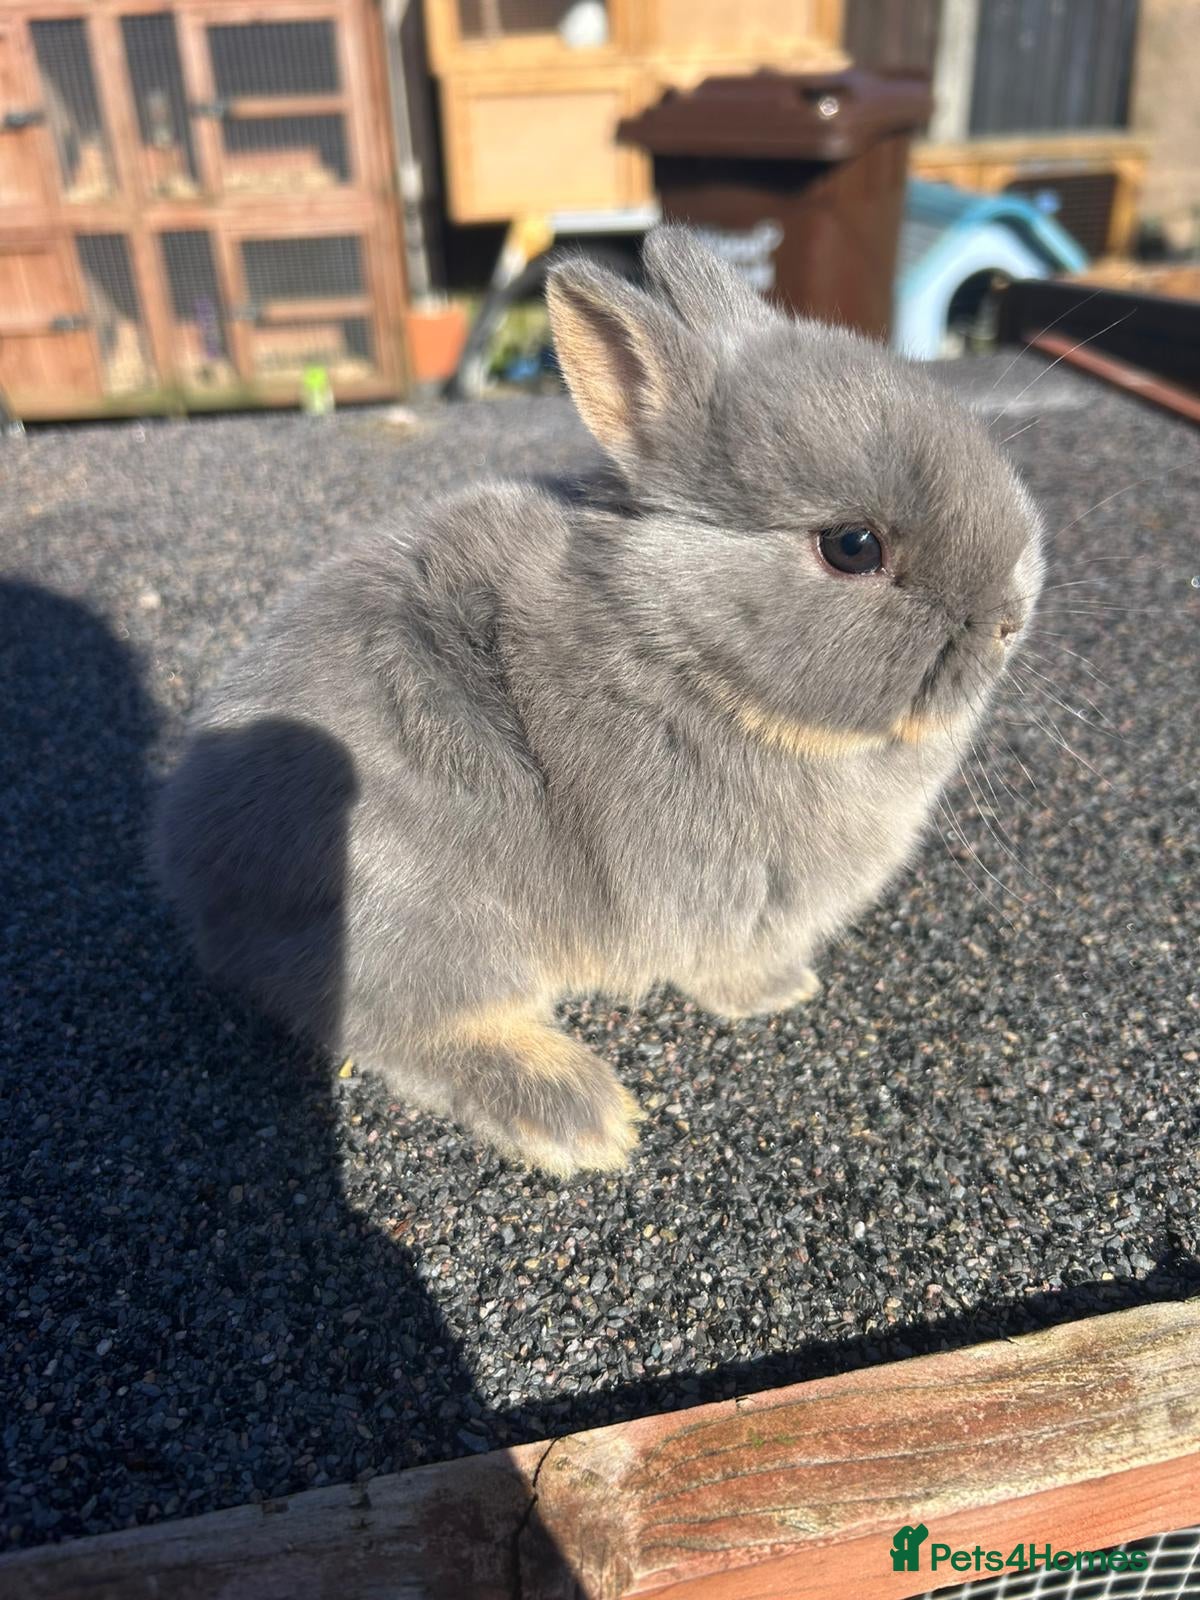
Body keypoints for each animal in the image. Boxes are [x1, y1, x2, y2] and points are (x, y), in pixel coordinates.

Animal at [153, 226, 1044, 1176]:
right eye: (852, 546)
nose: (1009, 617)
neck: (697, 656)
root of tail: (205, 887)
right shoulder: (723, 904)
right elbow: (727, 970)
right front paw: (782, 993)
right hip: (440, 920)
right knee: (407, 1029)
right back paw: (578, 1113)